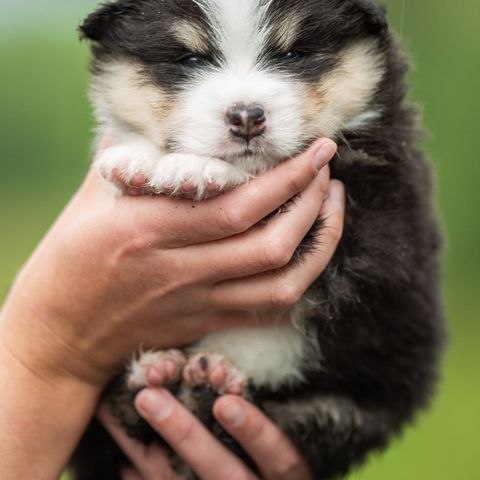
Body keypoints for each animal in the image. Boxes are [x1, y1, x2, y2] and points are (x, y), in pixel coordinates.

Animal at [70, 0, 446, 480]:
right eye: (189, 59)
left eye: (293, 54)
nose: (247, 116)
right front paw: (135, 161)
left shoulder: (371, 214)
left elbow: (264, 178)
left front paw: (191, 169)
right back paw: (160, 373)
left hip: (343, 409)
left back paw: (202, 383)